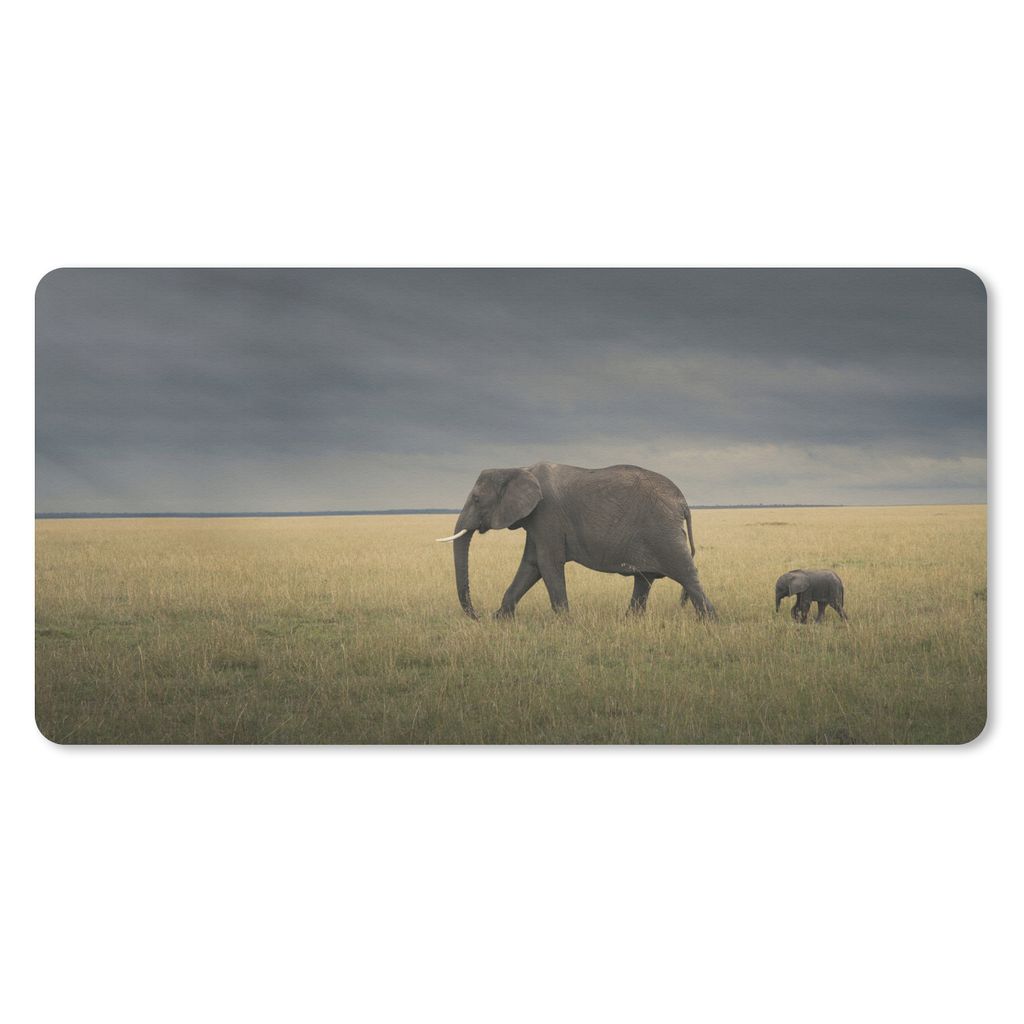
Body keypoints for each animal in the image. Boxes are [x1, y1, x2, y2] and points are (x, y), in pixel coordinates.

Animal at [436, 462, 715, 620]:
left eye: (476, 499)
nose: (478, 616)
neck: (517, 468)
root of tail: (683, 502)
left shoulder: (546, 514)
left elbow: (547, 564)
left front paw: (564, 622)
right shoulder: (536, 520)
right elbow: (531, 565)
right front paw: (500, 619)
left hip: (662, 530)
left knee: (685, 573)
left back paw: (709, 621)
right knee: (644, 579)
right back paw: (630, 620)